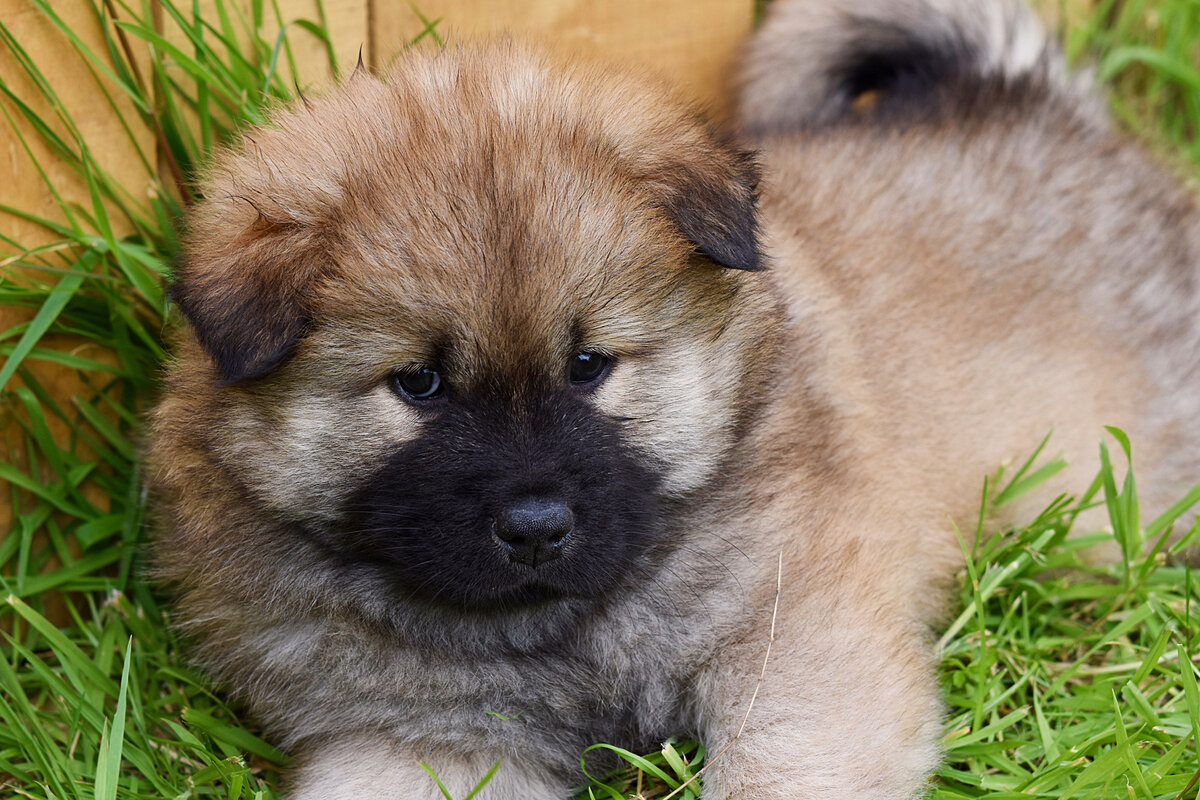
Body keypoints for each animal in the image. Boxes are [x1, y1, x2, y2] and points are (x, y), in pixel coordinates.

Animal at [150, 1, 1200, 800]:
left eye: (589, 365)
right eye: (419, 383)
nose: (536, 525)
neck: (569, 624)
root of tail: (1024, 100)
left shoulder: (797, 643)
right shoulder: (421, 738)